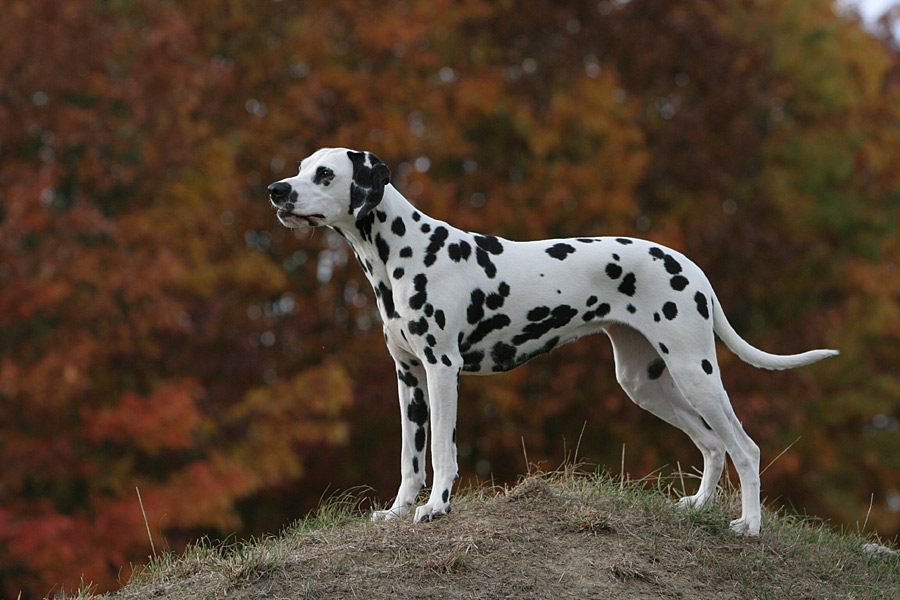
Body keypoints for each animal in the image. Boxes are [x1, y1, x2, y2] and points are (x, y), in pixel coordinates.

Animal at [266, 148, 836, 536]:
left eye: (324, 174)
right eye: (301, 166)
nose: (276, 189)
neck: (403, 253)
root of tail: (691, 267)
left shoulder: (442, 370)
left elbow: (443, 453)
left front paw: (437, 507)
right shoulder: (408, 377)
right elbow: (411, 457)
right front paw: (398, 510)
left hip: (696, 373)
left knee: (745, 447)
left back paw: (750, 525)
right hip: (645, 383)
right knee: (714, 444)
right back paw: (697, 508)